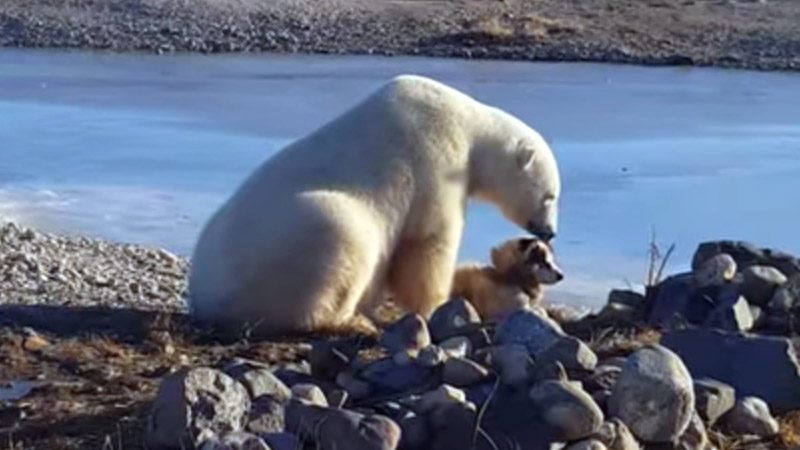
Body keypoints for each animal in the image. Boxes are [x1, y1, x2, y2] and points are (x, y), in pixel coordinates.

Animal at [188, 74, 564, 334]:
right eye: (550, 195)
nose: (550, 231)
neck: (468, 122)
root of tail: (204, 298)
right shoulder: (437, 160)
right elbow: (427, 243)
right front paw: (435, 306)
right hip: (290, 243)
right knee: (340, 235)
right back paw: (348, 321)